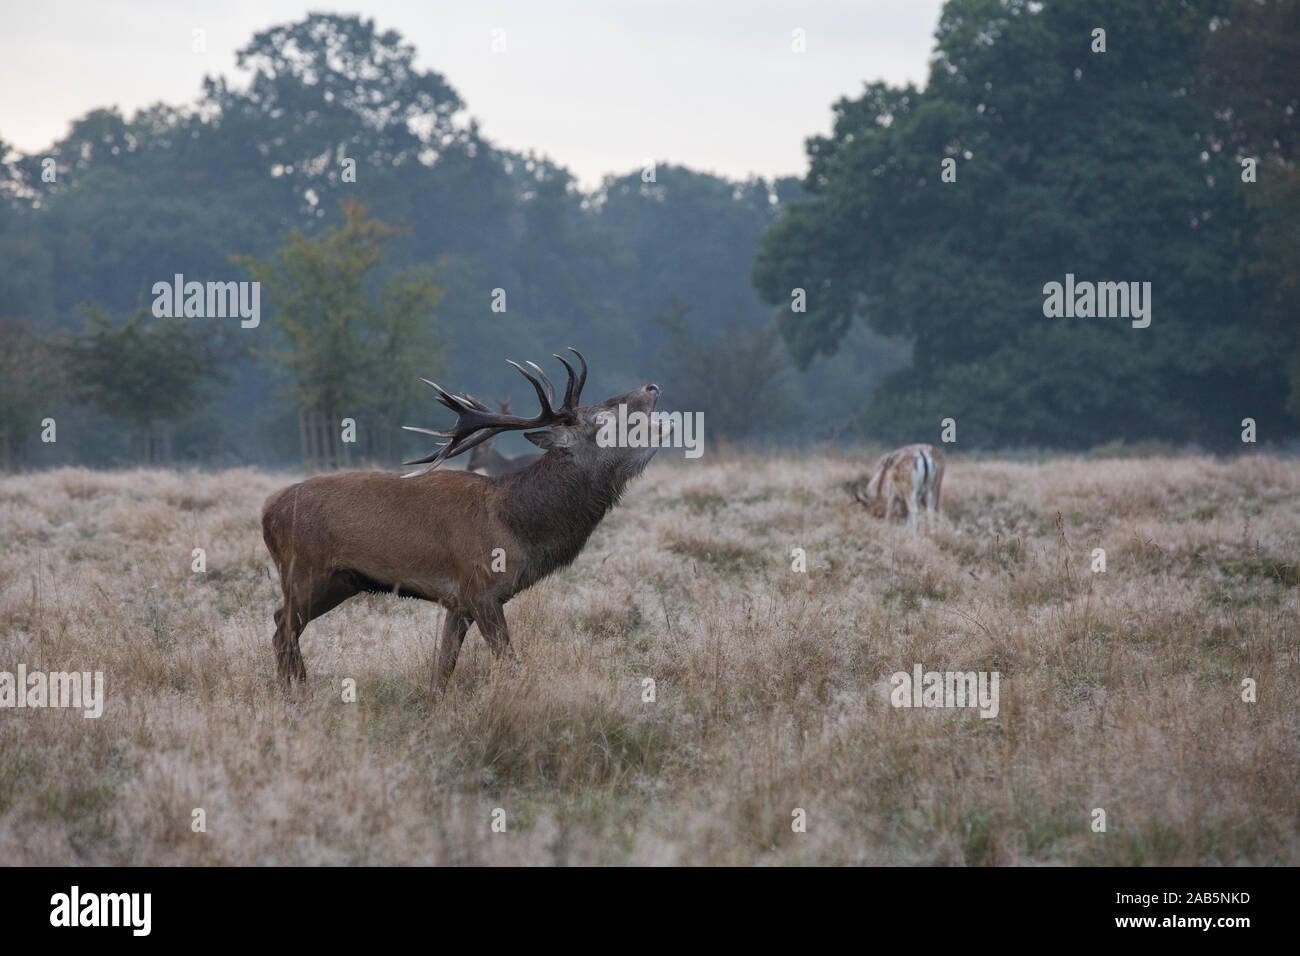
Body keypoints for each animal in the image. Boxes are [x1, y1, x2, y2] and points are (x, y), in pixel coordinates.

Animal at [263, 351, 670, 697]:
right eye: (601, 418)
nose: (651, 386)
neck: (519, 525)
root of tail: (267, 511)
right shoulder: (482, 588)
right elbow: (508, 663)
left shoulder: (458, 601)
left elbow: (443, 668)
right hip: (305, 571)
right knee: (284, 629)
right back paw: (294, 697)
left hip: (340, 581)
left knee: (282, 623)